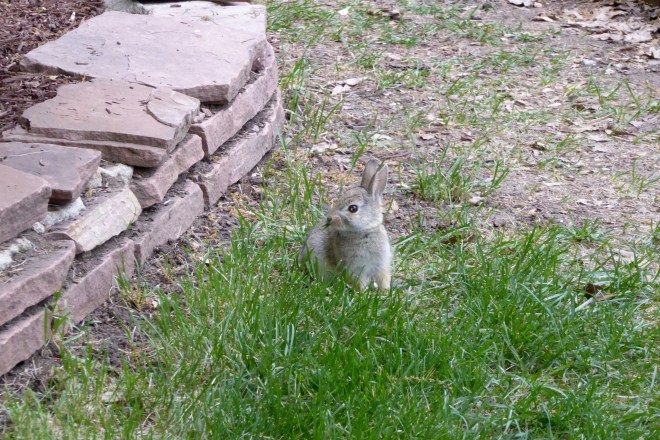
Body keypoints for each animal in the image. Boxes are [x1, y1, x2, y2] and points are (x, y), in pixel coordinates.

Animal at [299, 159, 392, 290]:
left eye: (353, 208)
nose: (329, 219)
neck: (365, 231)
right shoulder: (355, 268)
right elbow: (359, 282)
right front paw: (362, 293)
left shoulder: (382, 265)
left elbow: (384, 280)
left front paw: (385, 293)